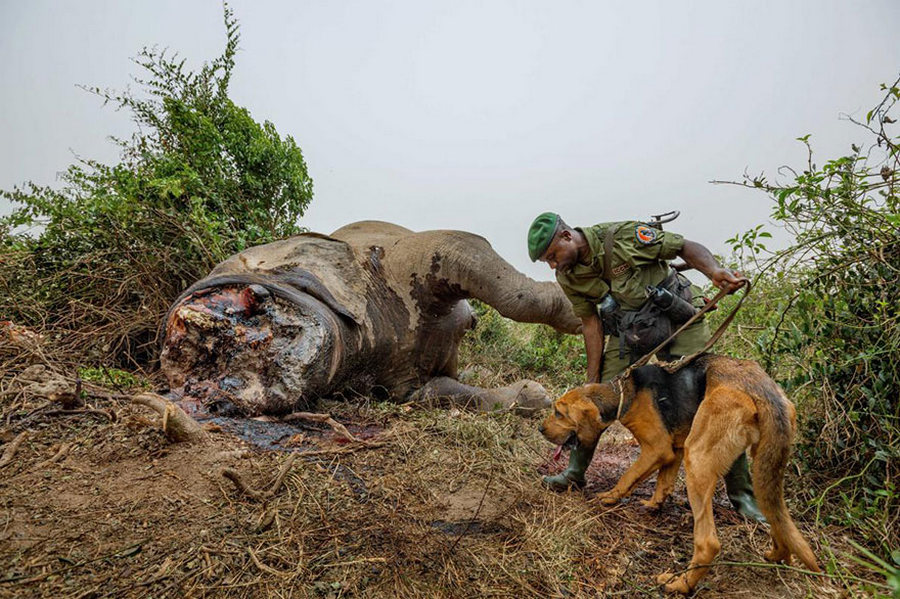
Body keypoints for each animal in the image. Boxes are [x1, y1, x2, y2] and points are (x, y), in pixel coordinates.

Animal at [536, 354, 820, 592]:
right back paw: (779, 555)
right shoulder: (675, 450)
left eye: (558, 413)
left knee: (708, 543)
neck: (624, 393)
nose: (540, 429)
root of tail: (761, 388)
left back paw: (679, 583)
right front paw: (653, 504)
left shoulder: (657, 449)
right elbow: (664, 481)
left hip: (698, 458)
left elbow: (629, 475)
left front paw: (610, 497)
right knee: (776, 515)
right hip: (764, 463)